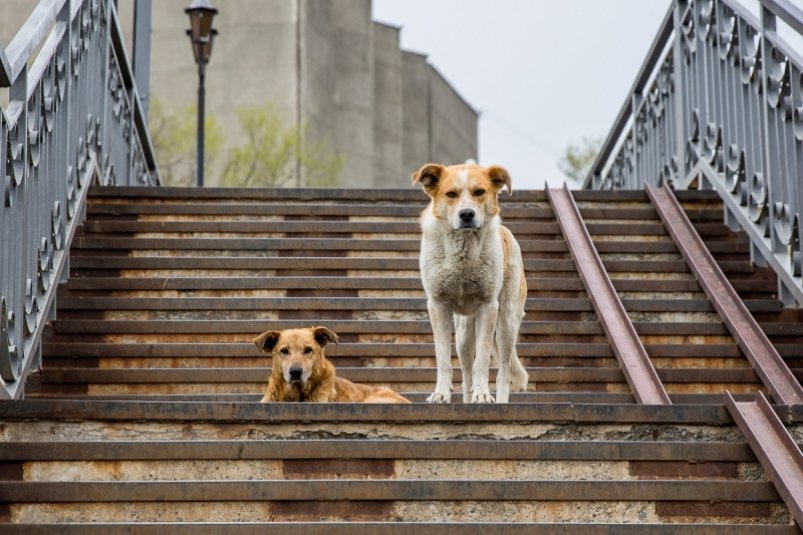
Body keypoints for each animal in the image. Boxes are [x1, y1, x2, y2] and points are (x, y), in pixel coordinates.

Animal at [414, 163, 528, 402]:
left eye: (479, 192)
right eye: (451, 194)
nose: (467, 214)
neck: (463, 250)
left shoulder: (488, 306)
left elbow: (483, 360)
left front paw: (483, 394)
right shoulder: (437, 305)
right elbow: (443, 359)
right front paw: (440, 394)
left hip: (506, 323)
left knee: (503, 370)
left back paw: (500, 400)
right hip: (464, 334)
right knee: (466, 373)